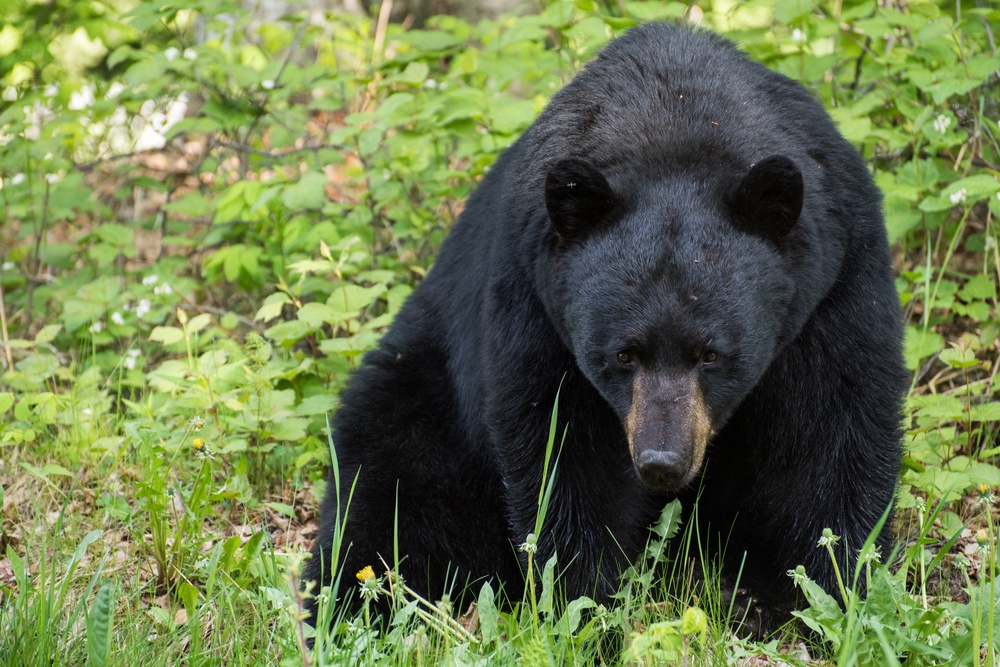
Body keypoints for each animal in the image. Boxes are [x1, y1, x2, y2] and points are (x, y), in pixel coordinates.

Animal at [304, 22, 905, 636]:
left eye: (712, 354)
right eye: (623, 355)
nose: (663, 462)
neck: (679, 121)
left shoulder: (836, 283)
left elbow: (833, 434)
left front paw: (830, 597)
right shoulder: (536, 306)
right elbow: (563, 455)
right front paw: (586, 612)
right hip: (426, 398)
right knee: (391, 501)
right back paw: (356, 607)